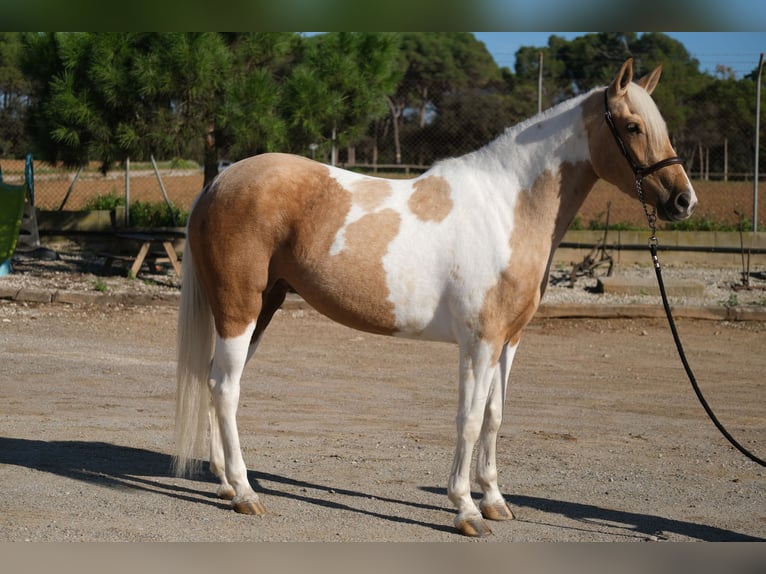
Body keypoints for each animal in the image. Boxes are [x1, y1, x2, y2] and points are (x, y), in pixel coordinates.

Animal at [176, 59, 704, 540]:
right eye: (633, 126)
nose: (684, 201)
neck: (507, 208)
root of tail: (217, 183)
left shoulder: (509, 342)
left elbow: (494, 417)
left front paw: (495, 501)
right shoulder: (480, 343)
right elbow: (468, 420)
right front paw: (466, 510)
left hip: (263, 308)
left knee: (217, 383)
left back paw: (226, 484)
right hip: (239, 309)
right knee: (226, 387)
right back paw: (245, 492)